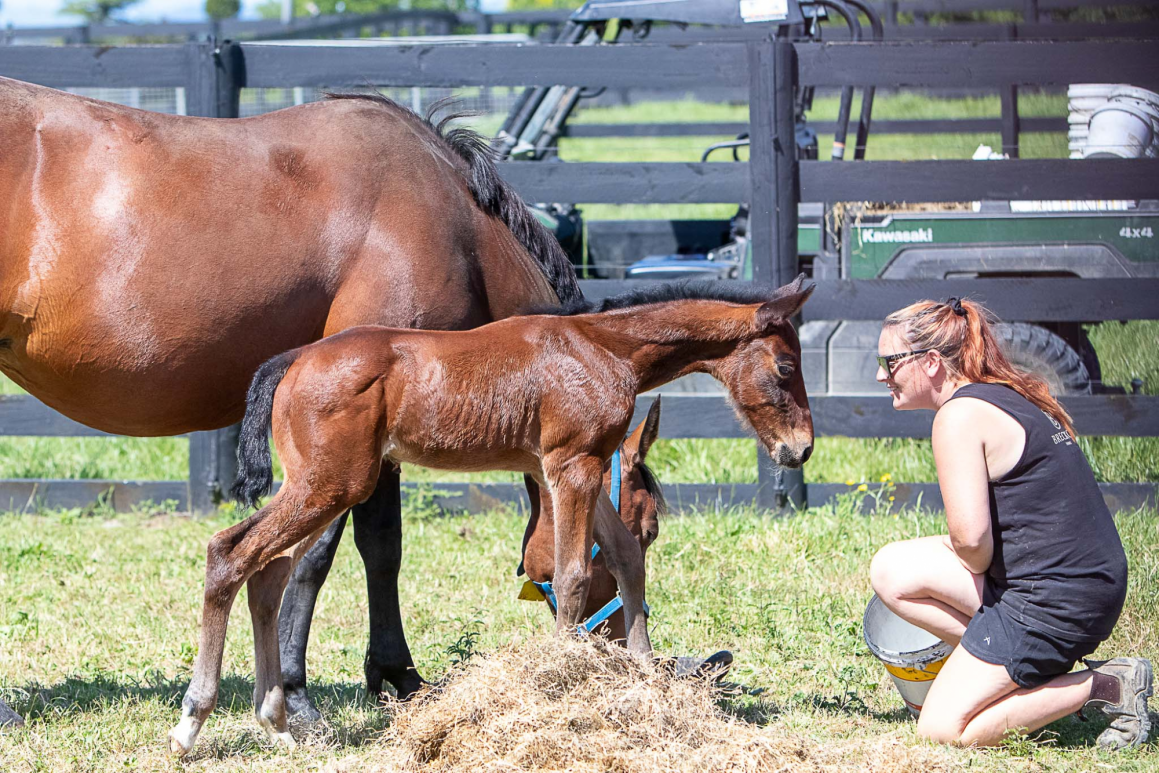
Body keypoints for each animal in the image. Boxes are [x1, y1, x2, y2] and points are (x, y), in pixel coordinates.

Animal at [168, 276, 815, 755]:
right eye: (786, 368)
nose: (801, 449)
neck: (601, 347)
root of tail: (294, 359)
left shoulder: (576, 468)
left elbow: (624, 561)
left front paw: (642, 679)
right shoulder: (571, 466)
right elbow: (575, 574)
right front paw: (557, 688)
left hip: (322, 488)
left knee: (266, 575)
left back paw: (277, 724)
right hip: (329, 486)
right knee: (229, 554)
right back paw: (192, 722)